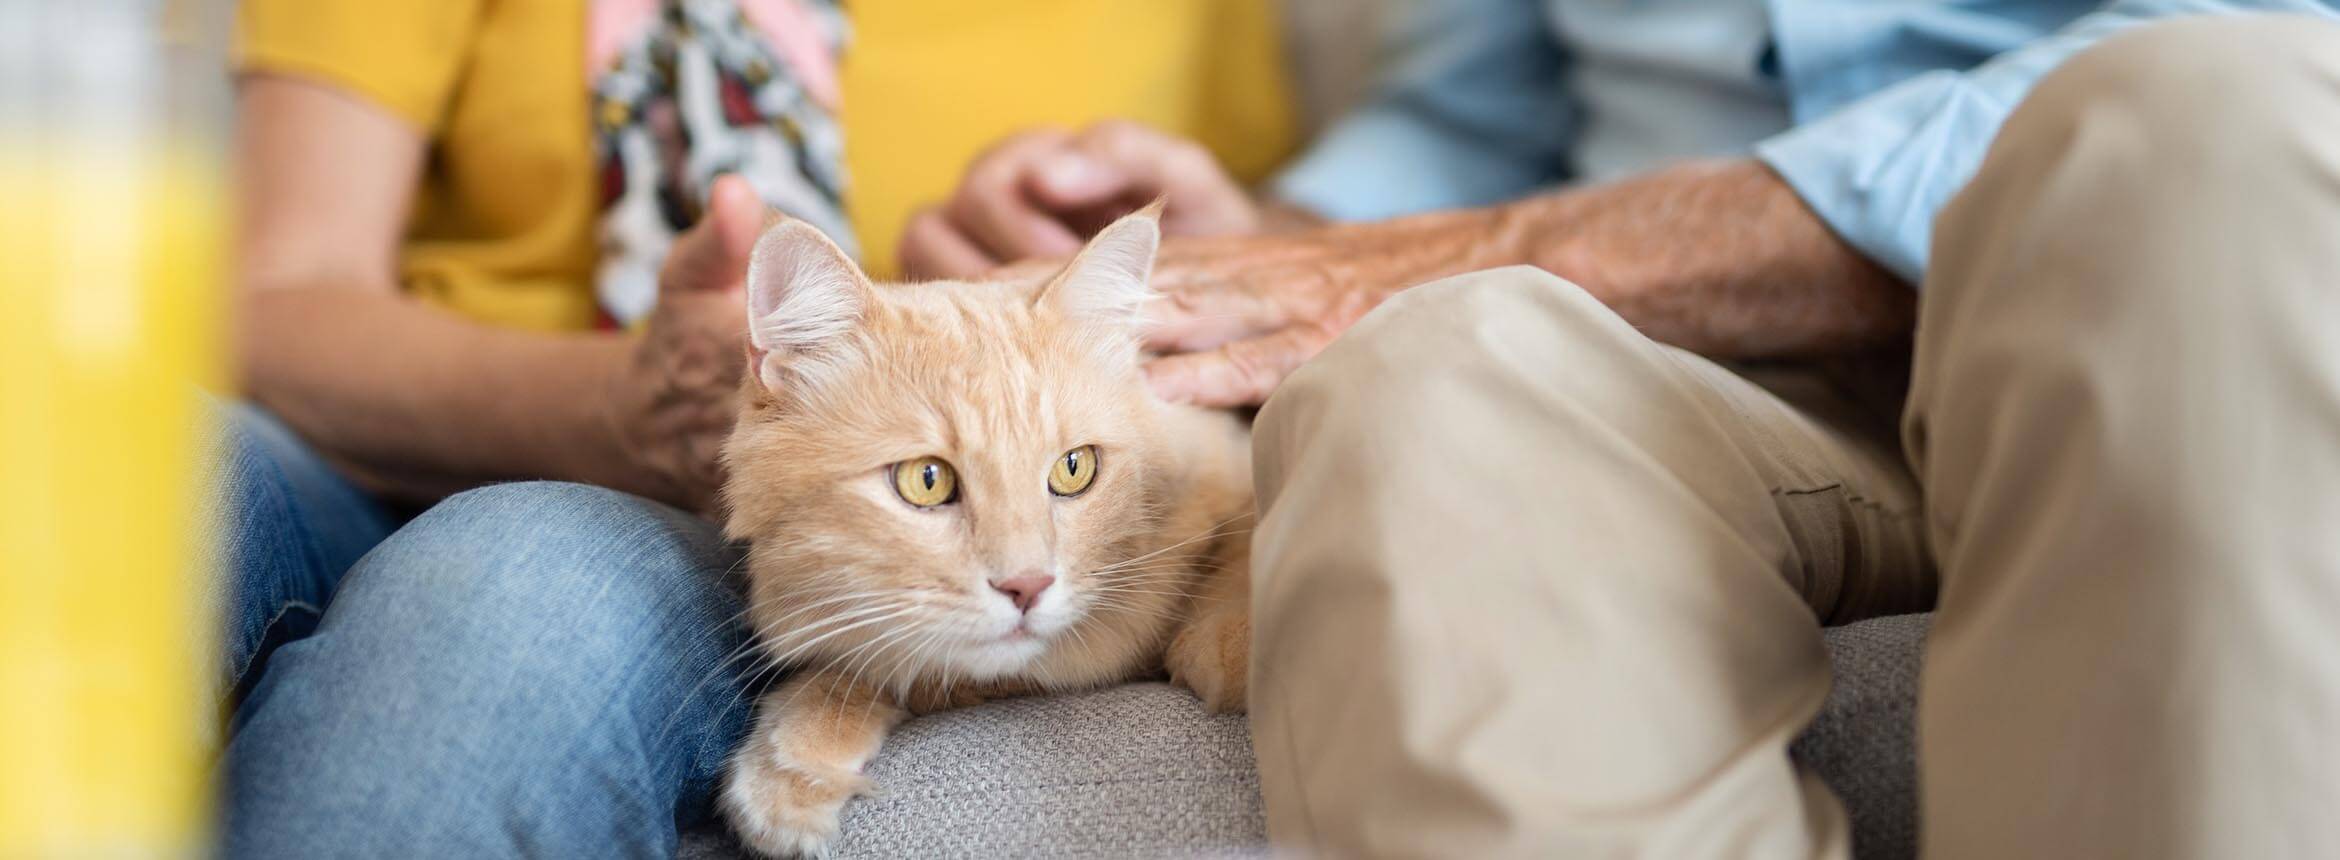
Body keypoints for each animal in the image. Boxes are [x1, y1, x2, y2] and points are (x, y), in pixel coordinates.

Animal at [716, 206, 1263, 855]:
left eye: (1073, 468)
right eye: (925, 481)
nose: (1027, 586)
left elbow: (1241, 545)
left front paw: (1236, 644)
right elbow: (853, 674)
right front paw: (791, 766)